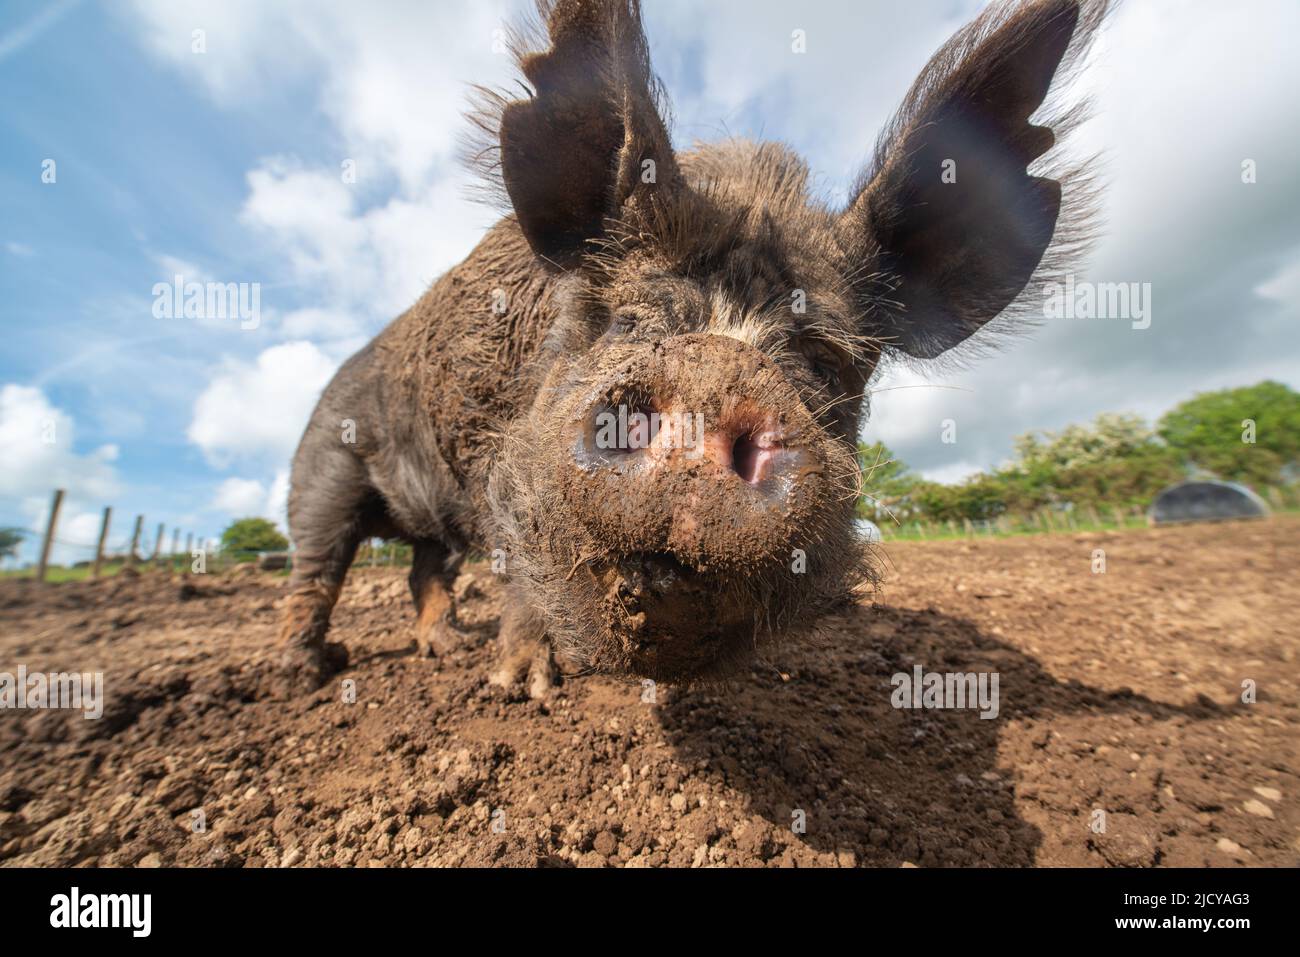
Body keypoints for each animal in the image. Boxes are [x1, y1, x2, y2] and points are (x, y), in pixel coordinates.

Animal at [277, 0, 1108, 695]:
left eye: (829, 361)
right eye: (626, 319)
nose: (717, 370)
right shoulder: (491, 462)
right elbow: (519, 572)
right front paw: (526, 688)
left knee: (426, 566)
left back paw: (443, 647)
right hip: (322, 462)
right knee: (317, 563)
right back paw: (307, 676)